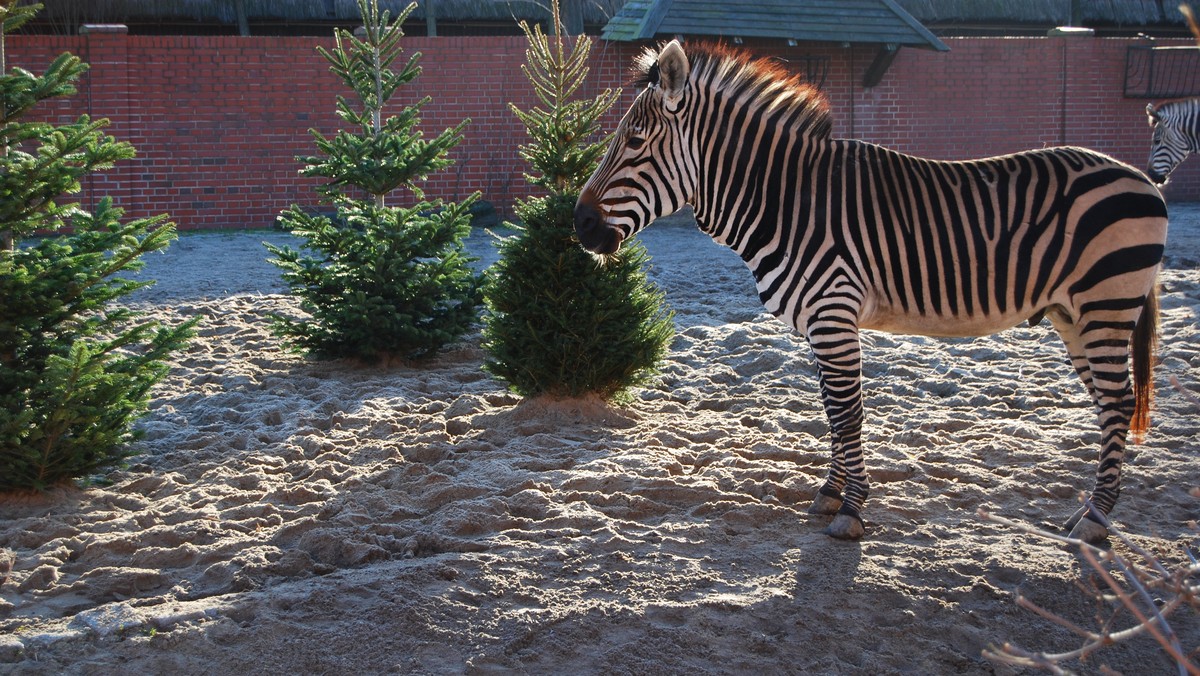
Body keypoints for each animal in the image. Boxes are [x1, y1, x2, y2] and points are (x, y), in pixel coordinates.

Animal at [576, 39, 1166, 542]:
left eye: (634, 143)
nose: (579, 226)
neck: (788, 201)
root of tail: (1142, 179)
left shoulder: (833, 313)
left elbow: (847, 411)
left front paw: (853, 510)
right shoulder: (820, 322)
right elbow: (830, 409)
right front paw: (829, 494)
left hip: (1104, 305)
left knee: (1118, 400)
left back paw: (1095, 521)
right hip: (1075, 315)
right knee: (1111, 402)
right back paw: (1090, 512)